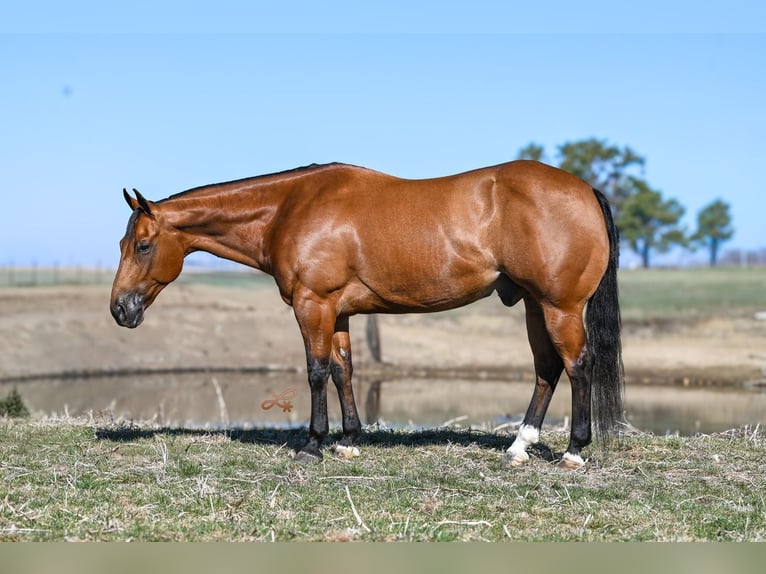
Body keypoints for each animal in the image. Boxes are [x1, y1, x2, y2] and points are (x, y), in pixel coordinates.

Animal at [110, 160, 624, 470]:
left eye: (143, 245)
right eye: (122, 243)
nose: (120, 308)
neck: (290, 208)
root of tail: (583, 188)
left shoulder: (313, 304)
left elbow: (317, 371)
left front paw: (312, 444)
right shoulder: (337, 312)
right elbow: (344, 370)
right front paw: (349, 439)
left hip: (560, 308)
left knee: (577, 366)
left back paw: (574, 452)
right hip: (537, 306)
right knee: (546, 369)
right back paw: (519, 447)